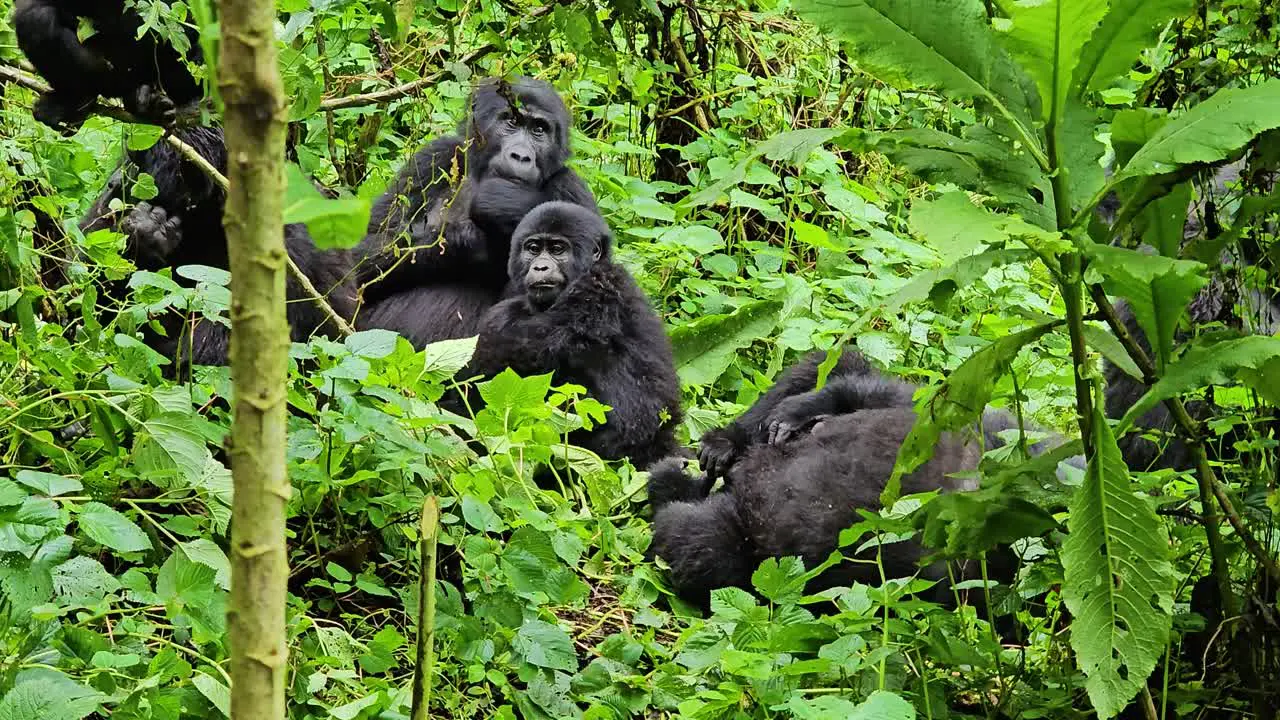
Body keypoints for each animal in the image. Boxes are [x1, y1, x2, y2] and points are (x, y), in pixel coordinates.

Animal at [355, 75, 599, 345]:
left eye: (539, 130)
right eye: (511, 122)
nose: (521, 156)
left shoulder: (570, 186)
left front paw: (504, 204)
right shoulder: (433, 157)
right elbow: (359, 252)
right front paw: (468, 240)